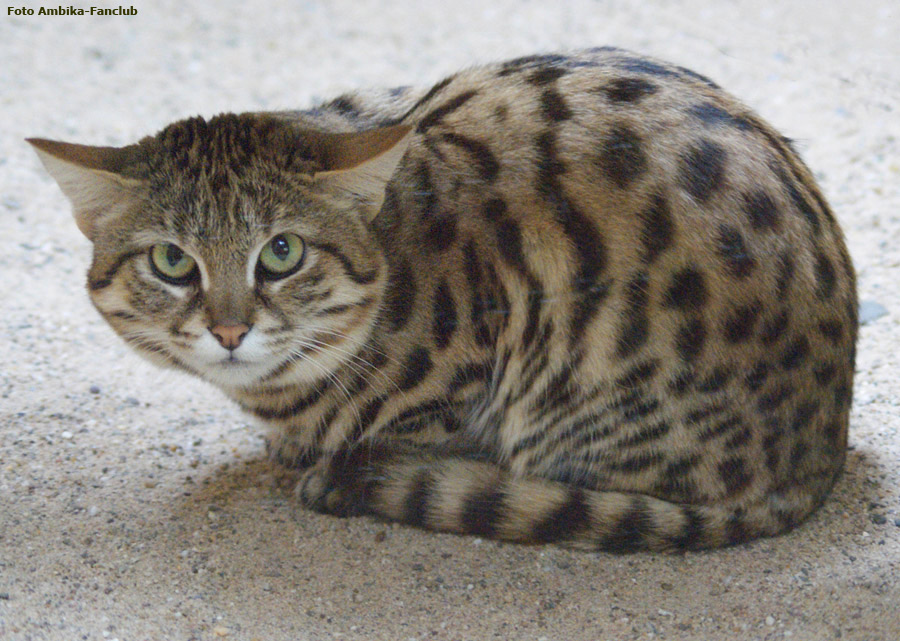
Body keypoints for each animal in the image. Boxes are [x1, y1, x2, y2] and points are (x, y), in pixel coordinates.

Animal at [29, 48, 856, 552]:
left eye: (282, 253)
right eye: (173, 261)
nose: (229, 330)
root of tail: (815, 467)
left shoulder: (469, 370)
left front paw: (321, 451)